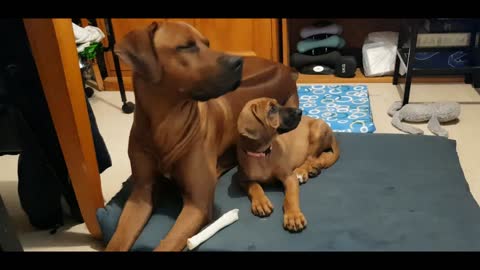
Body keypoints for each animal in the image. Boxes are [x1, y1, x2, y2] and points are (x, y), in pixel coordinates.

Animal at [107, 21, 298, 251]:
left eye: (207, 43)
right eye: (186, 46)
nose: (238, 62)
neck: (166, 123)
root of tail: (283, 67)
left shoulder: (197, 204)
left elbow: (166, 244)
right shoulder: (141, 193)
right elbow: (117, 240)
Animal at [234, 97, 340, 232]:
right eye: (272, 109)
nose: (300, 111)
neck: (263, 153)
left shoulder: (289, 177)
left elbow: (290, 197)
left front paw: (293, 216)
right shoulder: (241, 178)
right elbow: (255, 186)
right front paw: (261, 203)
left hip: (317, 129)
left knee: (312, 157)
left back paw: (302, 171)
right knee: (321, 156)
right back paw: (314, 169)